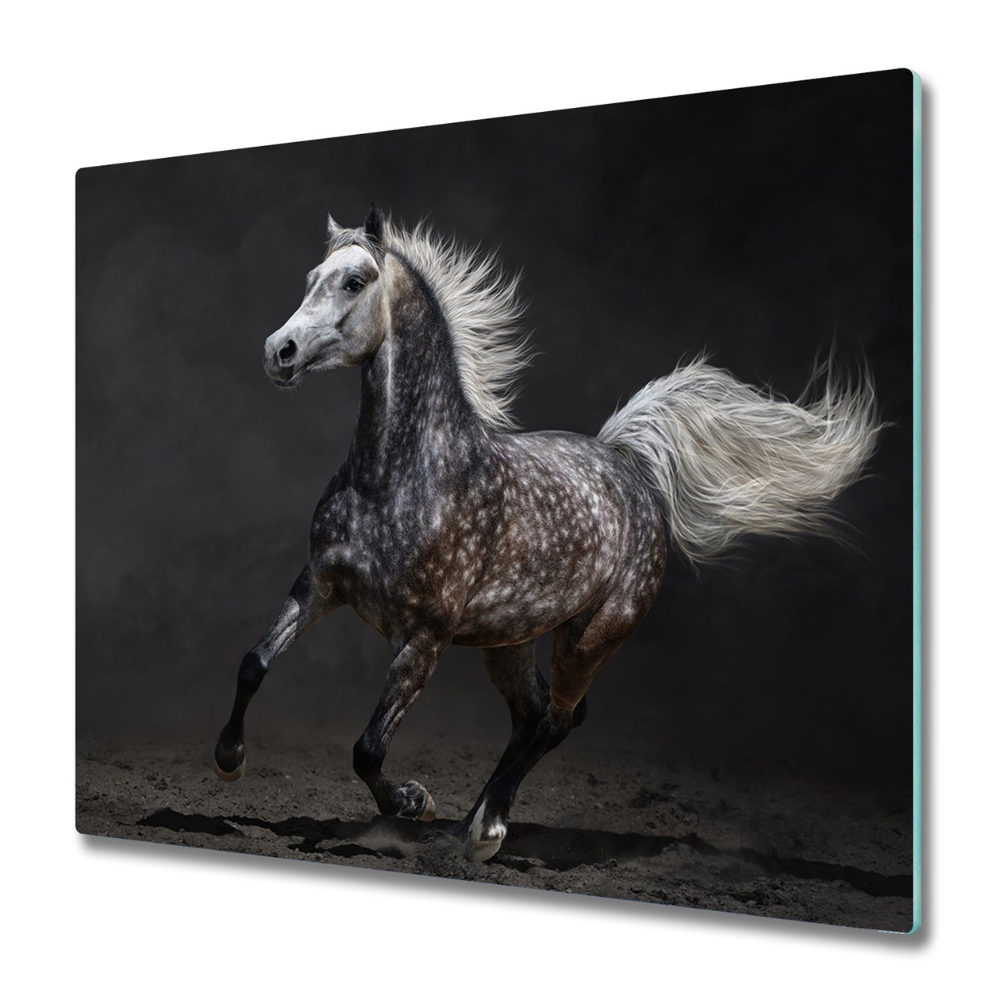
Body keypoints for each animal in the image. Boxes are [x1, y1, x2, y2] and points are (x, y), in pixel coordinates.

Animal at [213, 205, 880, 862]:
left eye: (354, 282)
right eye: (310, 278)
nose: (279, 351)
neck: (400, 478)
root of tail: (629, 464)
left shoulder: (425, 637)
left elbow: (369, 749)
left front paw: (413, 803)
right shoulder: (319, 585)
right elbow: (253, 663)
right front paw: (229, 760)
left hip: (589, 637)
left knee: (560, 720)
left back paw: (484, 831)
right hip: (509, 641)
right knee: (532, 718)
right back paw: (471, 825)